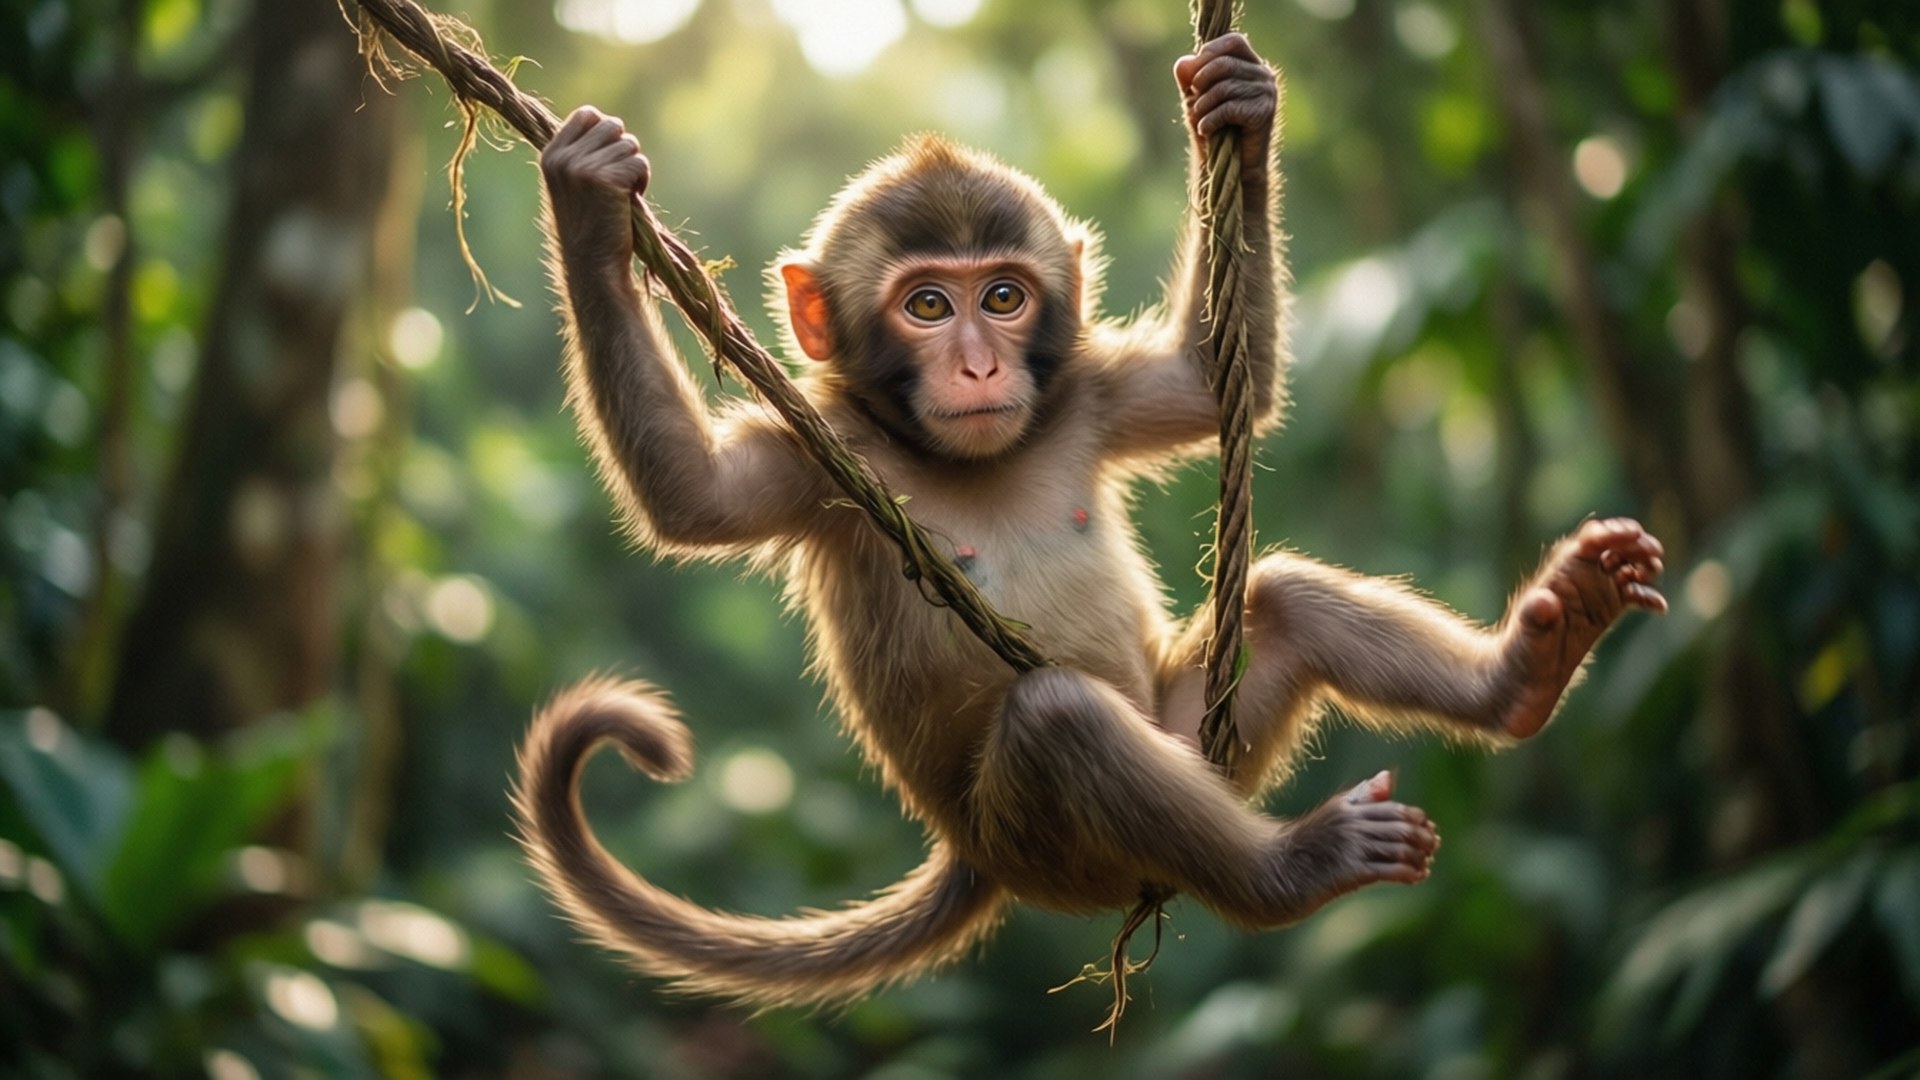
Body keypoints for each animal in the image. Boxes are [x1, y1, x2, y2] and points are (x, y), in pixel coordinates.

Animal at [515, 33, 1668, 1010]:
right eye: (927, 305)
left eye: (1005, 298)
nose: (980, 366)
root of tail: (971, 858)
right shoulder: (814, 454)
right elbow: (690, 496)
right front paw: (585, 201)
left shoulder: (1082, 395)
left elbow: (1208, 382)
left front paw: (1242, 106)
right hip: (1050, 846)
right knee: (1059, 718)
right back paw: (1290, 873)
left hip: (1201, 734)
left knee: (1280, 606)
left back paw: (1524, 671)